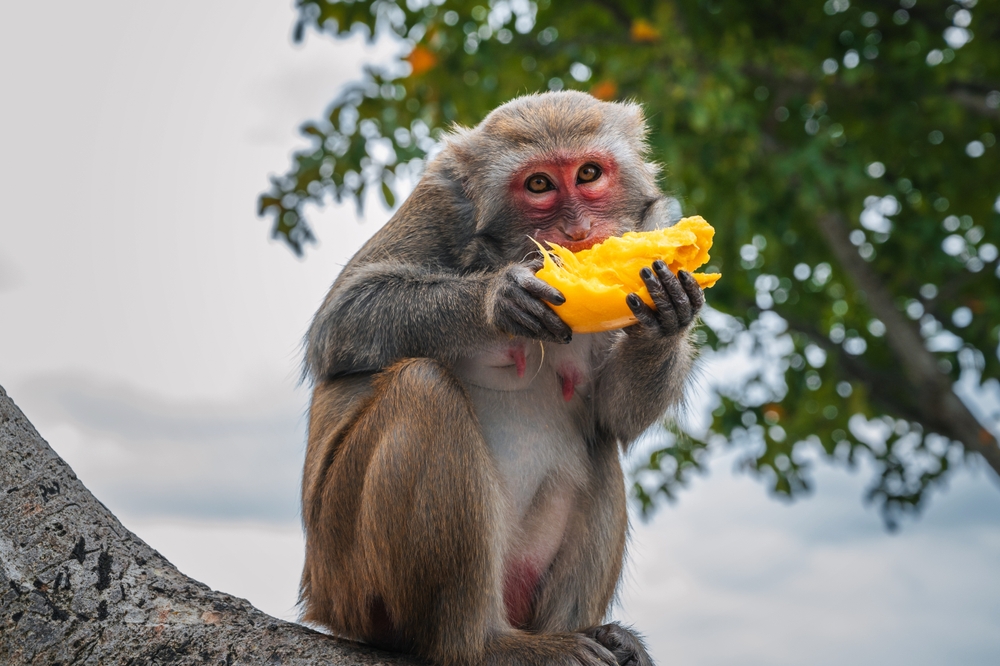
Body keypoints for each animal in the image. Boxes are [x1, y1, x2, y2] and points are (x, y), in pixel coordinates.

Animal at [300, 91, 704, 666]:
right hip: (348, 575)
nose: (579, 232)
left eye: (588, 173)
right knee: (422, 388)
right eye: (538, 185)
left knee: (600, 444)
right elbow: (342, 321)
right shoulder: (439, 203)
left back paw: (590, 634)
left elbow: (613, 413)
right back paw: (481, 644)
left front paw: (668, 314)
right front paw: (501, 297)